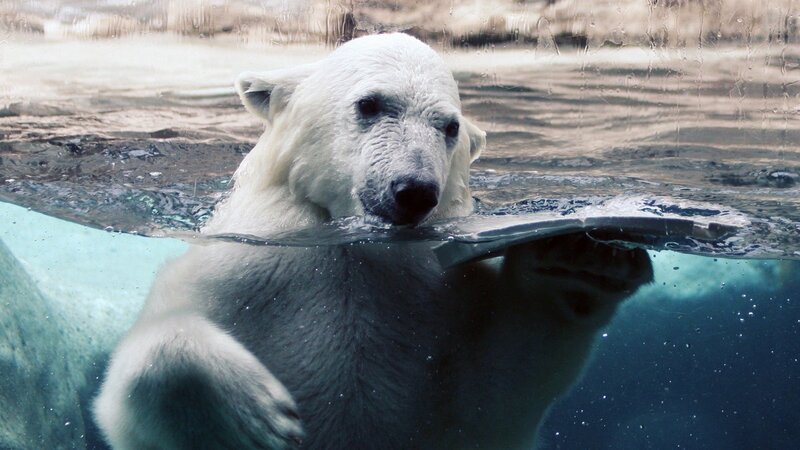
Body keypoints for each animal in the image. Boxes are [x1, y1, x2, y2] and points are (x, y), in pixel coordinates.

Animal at [93, 33, 653, 450]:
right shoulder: (244, 266)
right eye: (370, 103)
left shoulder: (441, 299)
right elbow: (132, 384)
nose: (414, 190)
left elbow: (494, 391)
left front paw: (581, 258)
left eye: (449, 127)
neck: (351, 245)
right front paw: (255, 421)